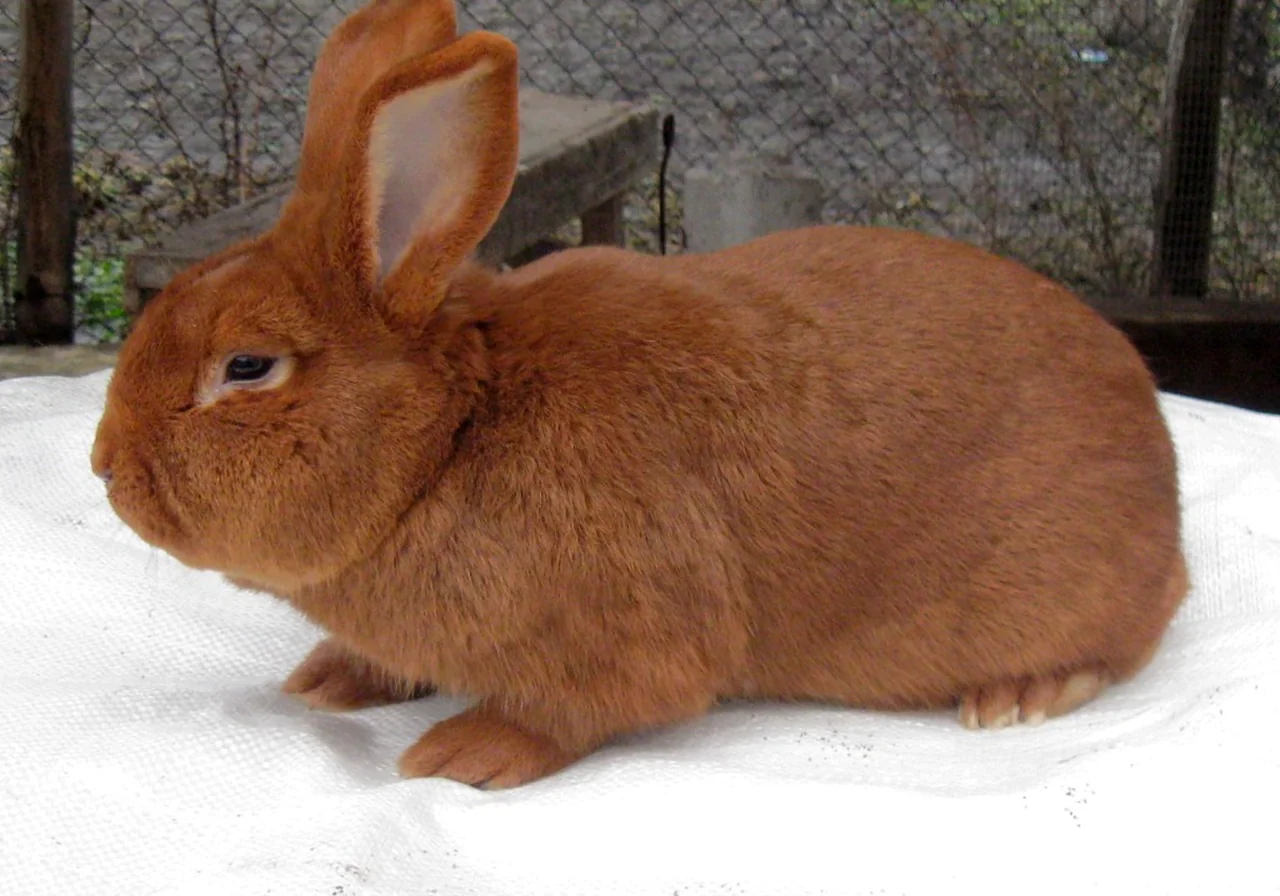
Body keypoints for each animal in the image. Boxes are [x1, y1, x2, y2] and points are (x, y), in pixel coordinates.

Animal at [91, 0, 1187, 789]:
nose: (105, 467)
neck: (450, 438)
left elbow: (567, 712)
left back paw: (1019, 693)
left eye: (246, 367)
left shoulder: (629, 637)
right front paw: (329, 678)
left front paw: (459, 753)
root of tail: (1155, 459)